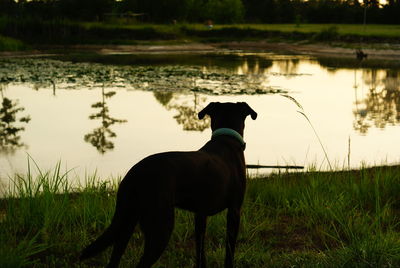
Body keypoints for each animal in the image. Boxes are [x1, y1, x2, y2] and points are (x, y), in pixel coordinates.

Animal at [79, 101, 258, 266]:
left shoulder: (200, 214)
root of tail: (134, 174)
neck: (226, 139)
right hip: (160, 226)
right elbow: (229, 251)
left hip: (127, 221)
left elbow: (200, 250)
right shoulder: (234, 211)